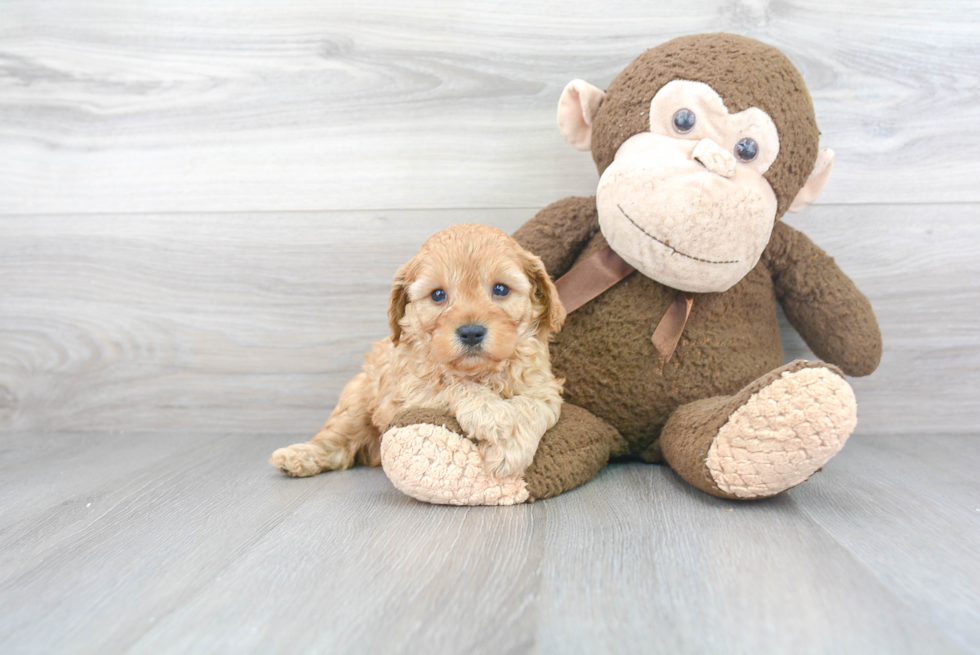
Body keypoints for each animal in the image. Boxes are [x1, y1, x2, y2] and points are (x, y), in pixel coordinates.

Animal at [270, 226, 568, 482]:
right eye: (437, 295)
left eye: (501, 289)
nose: (471, 332)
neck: (480, 372)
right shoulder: (406, 395)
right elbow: (453, 387)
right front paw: (490, 412)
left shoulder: (543, 388)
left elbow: (531, 406)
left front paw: (509, 449)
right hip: (356, 401)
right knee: (337, 442)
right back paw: (298, 456)